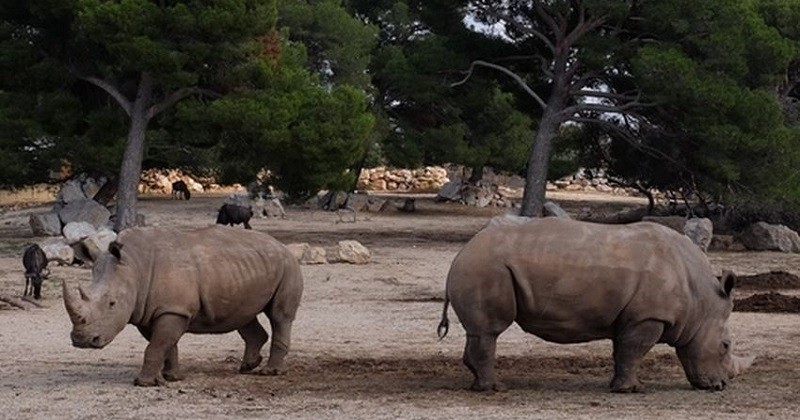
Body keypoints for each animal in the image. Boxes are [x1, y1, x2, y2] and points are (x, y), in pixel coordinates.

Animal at [63, 225, 304, 386]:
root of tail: (280, 244)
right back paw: (247, 367)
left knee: (280, 316)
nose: (82, 341)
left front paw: (144, 383)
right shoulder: (151, 309)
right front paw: (172, 378)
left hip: (288, 266)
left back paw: (270, 372)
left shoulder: (172, 309)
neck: (134, 267)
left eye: (112, 303)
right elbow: (165, 344)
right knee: (243, 315)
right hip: (244, 269)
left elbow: (157, 345)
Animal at [440, 218, 752, 392]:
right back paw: (493, 388)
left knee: (478, 332)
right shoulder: (648, 316)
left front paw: (620, 386)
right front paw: (633, 390)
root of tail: (461, 253)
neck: (700, 300)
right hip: (486, 267)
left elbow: (622, 352)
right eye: (725, 345)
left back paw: (477, 384)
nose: (721, 386)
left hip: (483, 266)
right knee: (489, 331)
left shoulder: (631, 318)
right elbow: (634, 351)